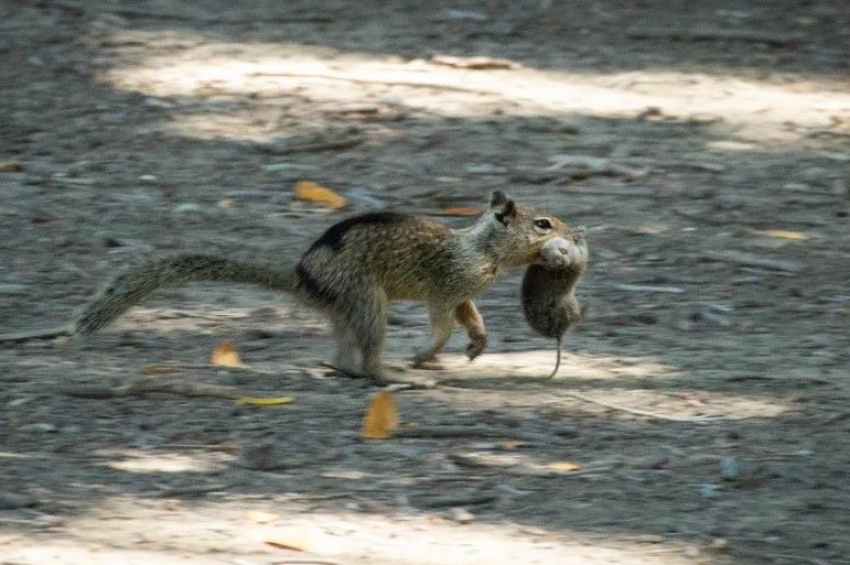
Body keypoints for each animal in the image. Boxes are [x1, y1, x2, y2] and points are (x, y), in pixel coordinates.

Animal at [1, 192, 584, 382]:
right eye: (542, 224)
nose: (577, 235)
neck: (482, 249)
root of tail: (303, 279)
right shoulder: (447, 287)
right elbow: (443, 321)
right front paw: (427, 353)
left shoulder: (464, 292)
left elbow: (470, 316)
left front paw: (478, 344)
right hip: (367, 302)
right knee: (366, 356)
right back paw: (392, 374)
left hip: (349, 310)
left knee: (344, 354)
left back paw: (344, 368)